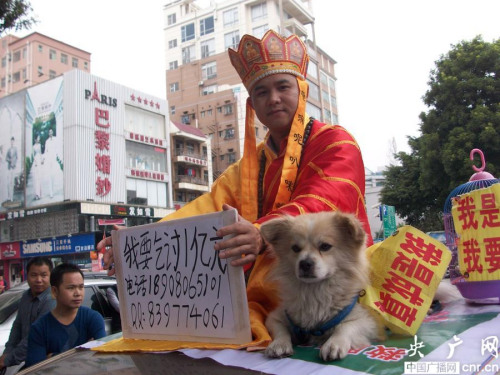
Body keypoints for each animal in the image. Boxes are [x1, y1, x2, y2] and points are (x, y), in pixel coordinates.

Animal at [260, 212, 384, 362]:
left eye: (325, 246)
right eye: (295, 248)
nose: (305, 263)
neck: (315, 292)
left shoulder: (369, 322)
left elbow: (346, 326)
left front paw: (334, 344)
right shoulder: (276, 317)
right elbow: (280, 330)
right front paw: (279, 344)